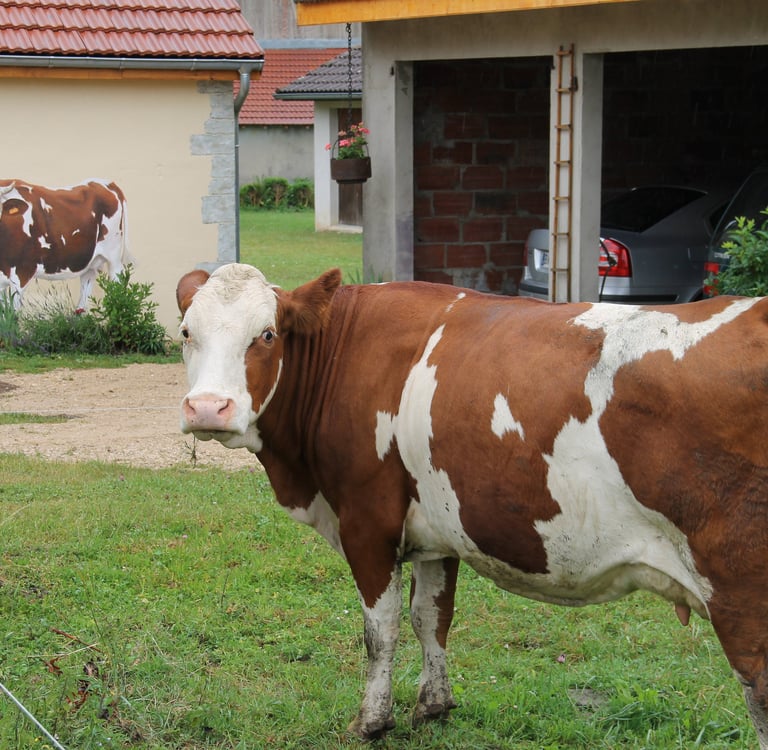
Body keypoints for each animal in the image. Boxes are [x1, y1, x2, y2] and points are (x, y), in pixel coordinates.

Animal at [0, 178, 130, 312]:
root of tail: (104, 182)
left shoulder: (22, 272)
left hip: (114, 256)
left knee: (117, 283)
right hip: (88, 261)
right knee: (85, 294)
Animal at [176, 262, 768, 746]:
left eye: (266, 335)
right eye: (186, 333)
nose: (207, 407)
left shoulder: (368, 522)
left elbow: (380, 630)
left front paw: (371, 722)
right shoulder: (435, 531)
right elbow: (431, 617)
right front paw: (433, 706)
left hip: (738, 587)